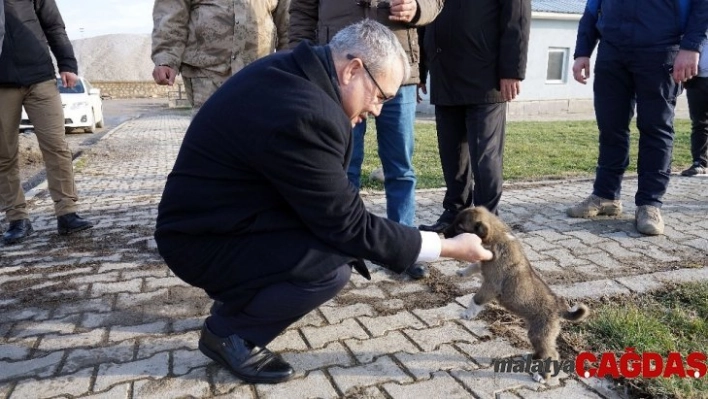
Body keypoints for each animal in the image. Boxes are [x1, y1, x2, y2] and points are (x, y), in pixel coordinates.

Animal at [446, 208, 588, 382]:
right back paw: (532, 357)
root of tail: (559, 308)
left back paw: (543, 376)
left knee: (552, 354)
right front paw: (463, 272)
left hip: (539, 334)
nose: (444, 233)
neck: (498, 236)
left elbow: (476, 299)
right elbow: (475, 265)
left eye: (459, 227)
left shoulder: (491, 285)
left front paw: (467, 313)